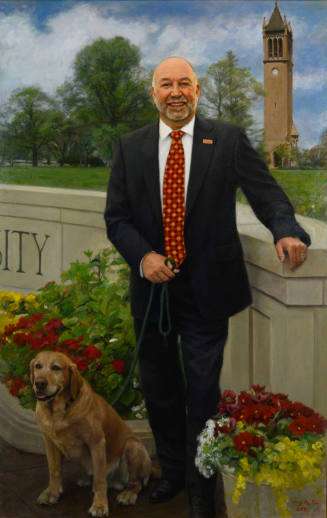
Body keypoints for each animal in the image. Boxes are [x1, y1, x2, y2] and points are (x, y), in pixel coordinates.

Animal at [30, 352, 154, 516]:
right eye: (38, 366)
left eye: (56, 368)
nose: (39, 383)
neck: (58, 412)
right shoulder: (49, 442)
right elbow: (54, 470)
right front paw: (53, 493)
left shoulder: (96, 442)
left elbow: (100, 479)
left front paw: (100, 505)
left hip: (133, 446)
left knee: (136, 483)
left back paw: (127, 494)